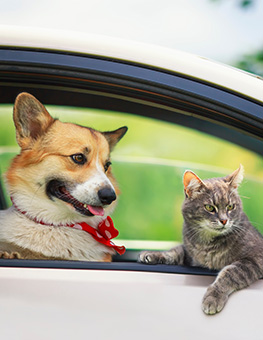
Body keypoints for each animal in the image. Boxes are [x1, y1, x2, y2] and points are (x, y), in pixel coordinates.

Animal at [140, 166, 263, 314]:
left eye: (230, 207)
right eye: (210, 207)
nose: (224, 220)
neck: (207, 243)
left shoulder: (255, 258)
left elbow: (230, 273)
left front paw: (213, 297)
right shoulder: (191, 254)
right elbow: (176, 251)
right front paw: (153, 254)